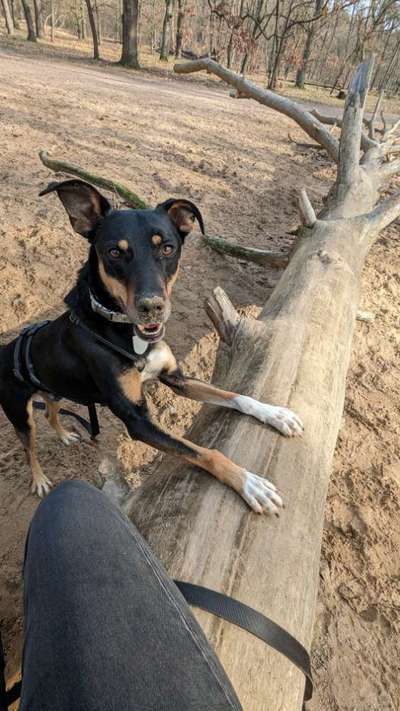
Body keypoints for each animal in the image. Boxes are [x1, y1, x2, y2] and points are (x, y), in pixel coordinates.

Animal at [0, 181, 304, 516]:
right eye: (114, 252)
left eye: (167, 248)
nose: (152, 307)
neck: (128, 337)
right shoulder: (138, 421)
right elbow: (205, 452)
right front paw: (250, 482)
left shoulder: (176, 378)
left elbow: (234, 396)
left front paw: (274, 413)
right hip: (19, 412)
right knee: (30, 447)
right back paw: (40, 479)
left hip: (55, 390)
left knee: (51, 413)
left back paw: (64, 434)